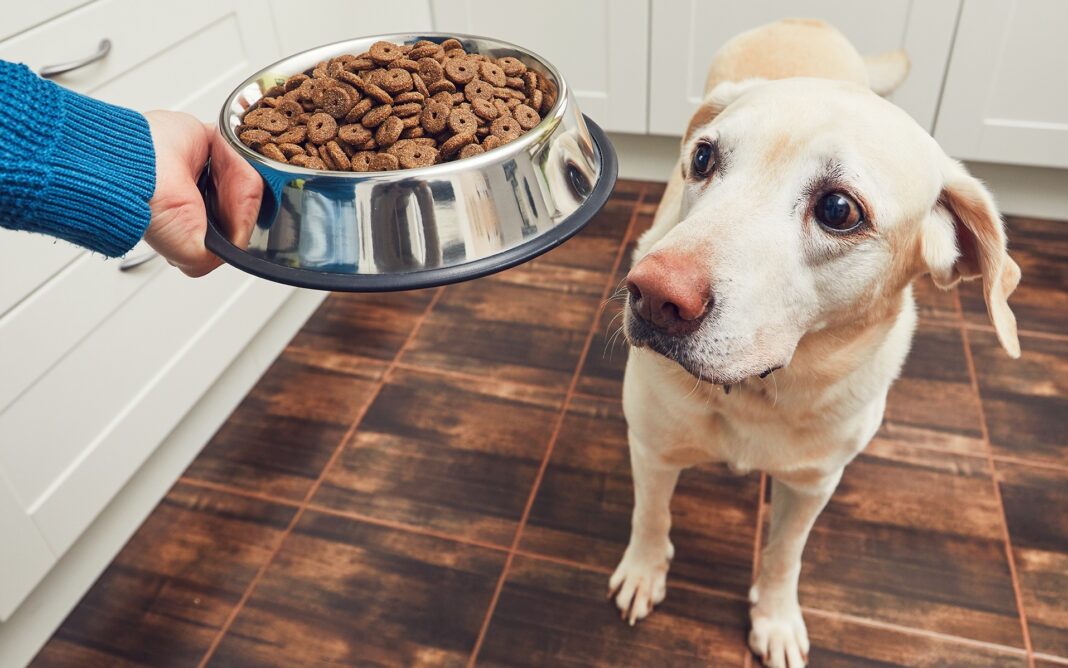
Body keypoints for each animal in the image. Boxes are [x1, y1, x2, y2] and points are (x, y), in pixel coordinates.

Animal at [610, 18, 1016, 662]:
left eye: (838, 209)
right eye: (702, 157)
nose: (650, 294)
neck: (758, 392)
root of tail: (804, 21)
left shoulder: (813, 485)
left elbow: (784, 556)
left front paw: (775, 620)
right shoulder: (652, 447)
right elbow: (651, 518)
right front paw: (644, 571)